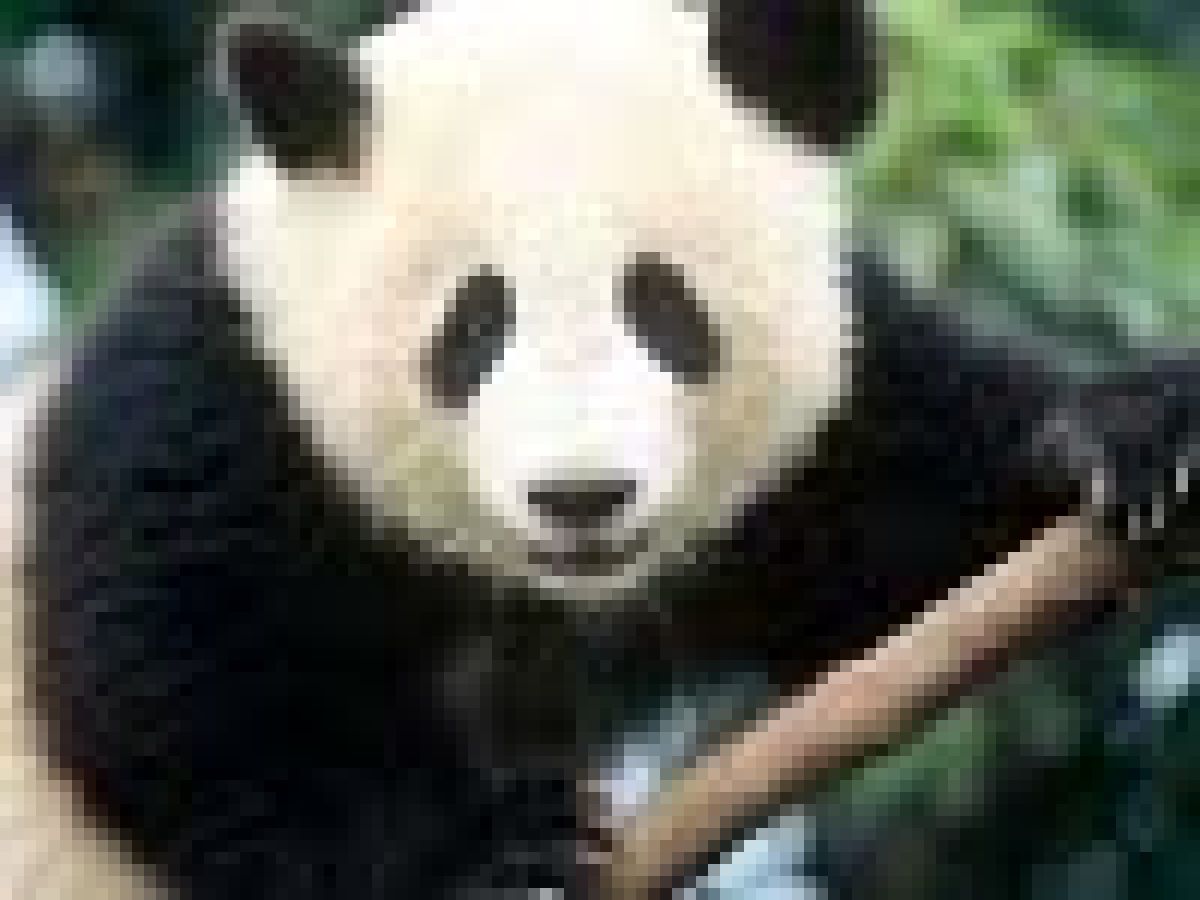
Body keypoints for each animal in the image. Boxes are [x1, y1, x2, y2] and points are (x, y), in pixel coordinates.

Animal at [1, 0, 1195, 897]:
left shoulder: (822, 434)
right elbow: (188, 693)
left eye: (665, 307)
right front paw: (490, 854)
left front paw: (1131, 435)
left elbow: (892, 545)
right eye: (474, 323)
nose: (581, 498)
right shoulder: (220, 401)